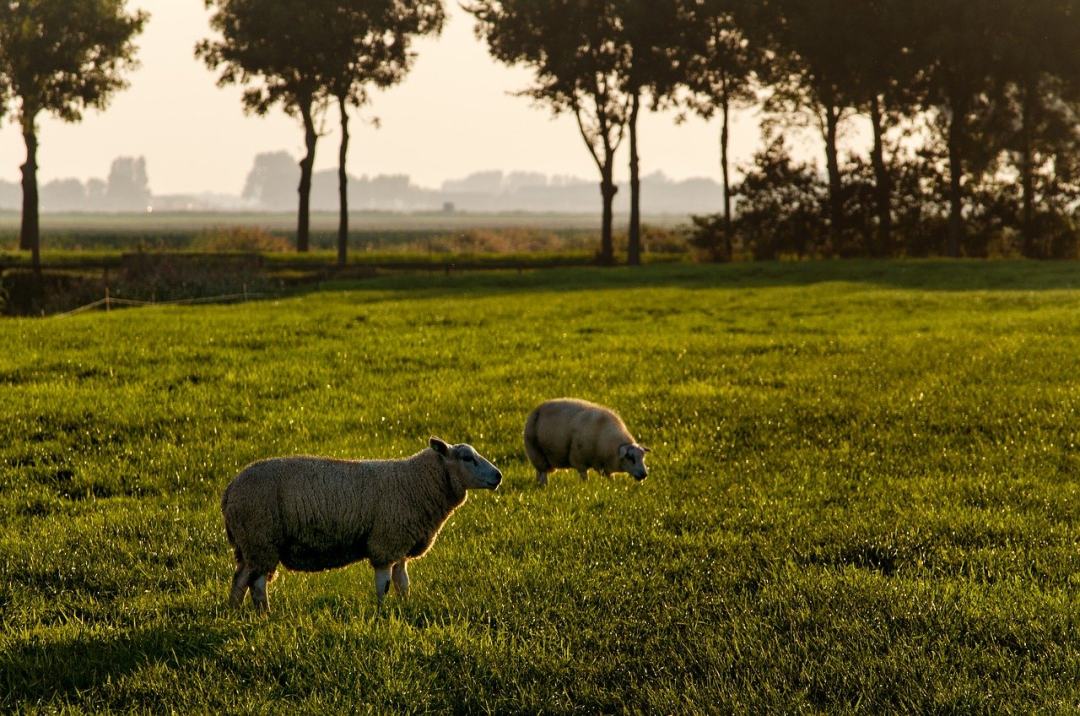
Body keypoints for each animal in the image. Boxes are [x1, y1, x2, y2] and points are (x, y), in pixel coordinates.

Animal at [222, 434, 505, 613]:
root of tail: (230, 489)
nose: (499, 476)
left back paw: (234, 613)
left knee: (240, 580)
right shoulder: (385, 543)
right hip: (261, 538)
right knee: (258, 585)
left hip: (249, 544)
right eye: (467, 458)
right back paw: (265, 615)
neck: (417, 482)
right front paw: (381, 613)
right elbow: (384, 585)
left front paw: (406, 608)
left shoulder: (400, 545)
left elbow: (403, 583)